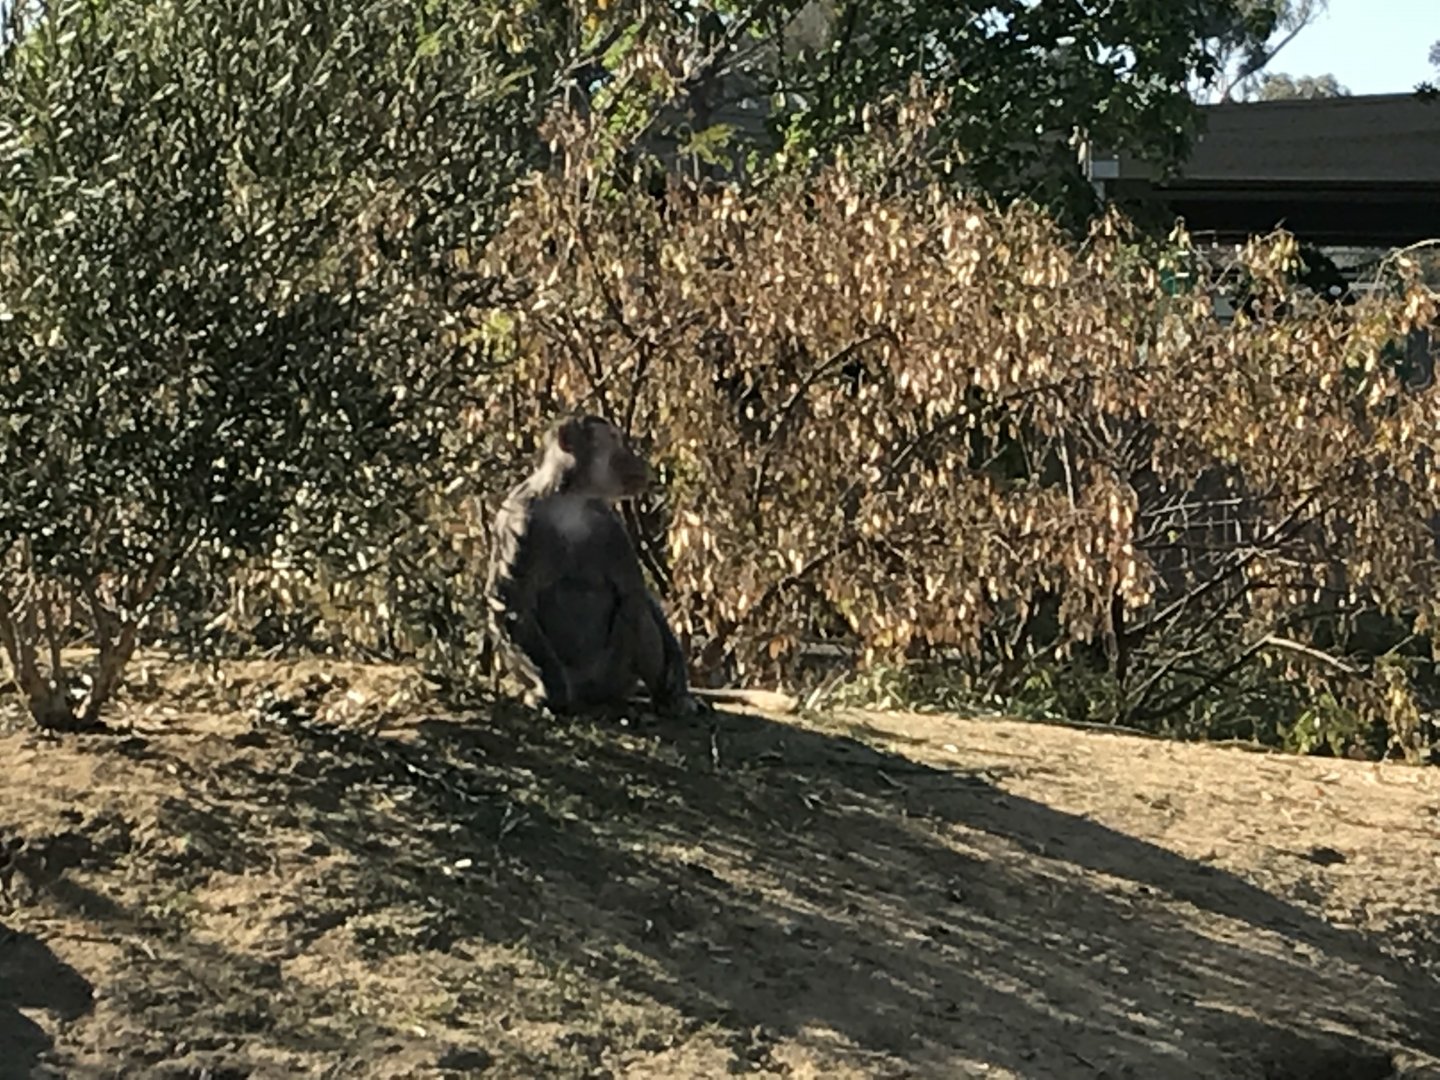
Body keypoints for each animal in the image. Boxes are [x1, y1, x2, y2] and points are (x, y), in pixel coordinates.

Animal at [485, 414, 699, 717]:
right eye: (615, 442)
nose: (638, 461)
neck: (571, 498)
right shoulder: (519, 518)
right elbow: (512, 603)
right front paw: (550, 692)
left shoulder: (609, 524)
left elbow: (634, 592)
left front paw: (678, 688)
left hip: (615, 674)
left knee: (635, 611)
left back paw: (666, 699)